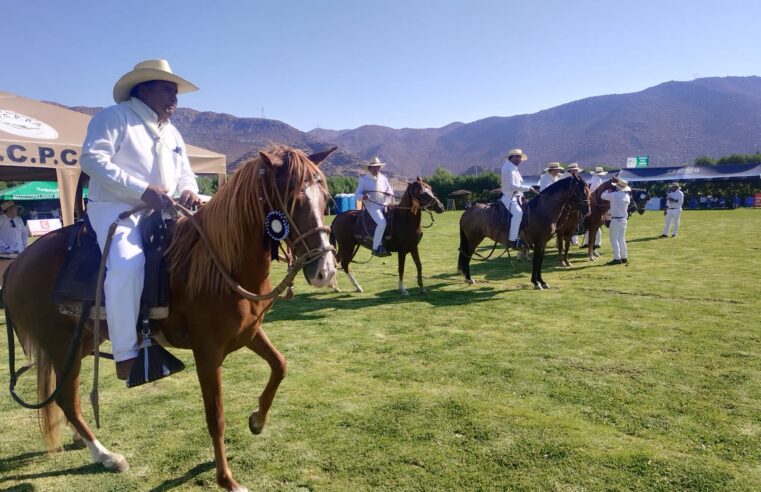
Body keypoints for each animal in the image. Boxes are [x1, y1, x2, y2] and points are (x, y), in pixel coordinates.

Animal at [2, 144, 336, 490]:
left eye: (326, 199)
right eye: (292, 199)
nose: (324, 272)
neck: (219, 263)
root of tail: (16, 265)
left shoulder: (248, 333)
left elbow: (280, 365)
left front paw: (257, 420)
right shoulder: (207, 353)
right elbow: (215, 415)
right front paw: (226, 479)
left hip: (78, 346)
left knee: (65, 399)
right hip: (60, 346)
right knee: (67, 400)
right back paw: (107, 455)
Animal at [458, 175, 588, 288]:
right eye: (580, 189)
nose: (587, 210)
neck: (542, 210)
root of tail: (467, 211)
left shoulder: (542, 243)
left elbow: (539, 262)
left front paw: (542, 282)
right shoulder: (538, 243)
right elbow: (536, 262)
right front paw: (536, 283)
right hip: (473, 240)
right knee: (467, 256)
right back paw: (469, 278)